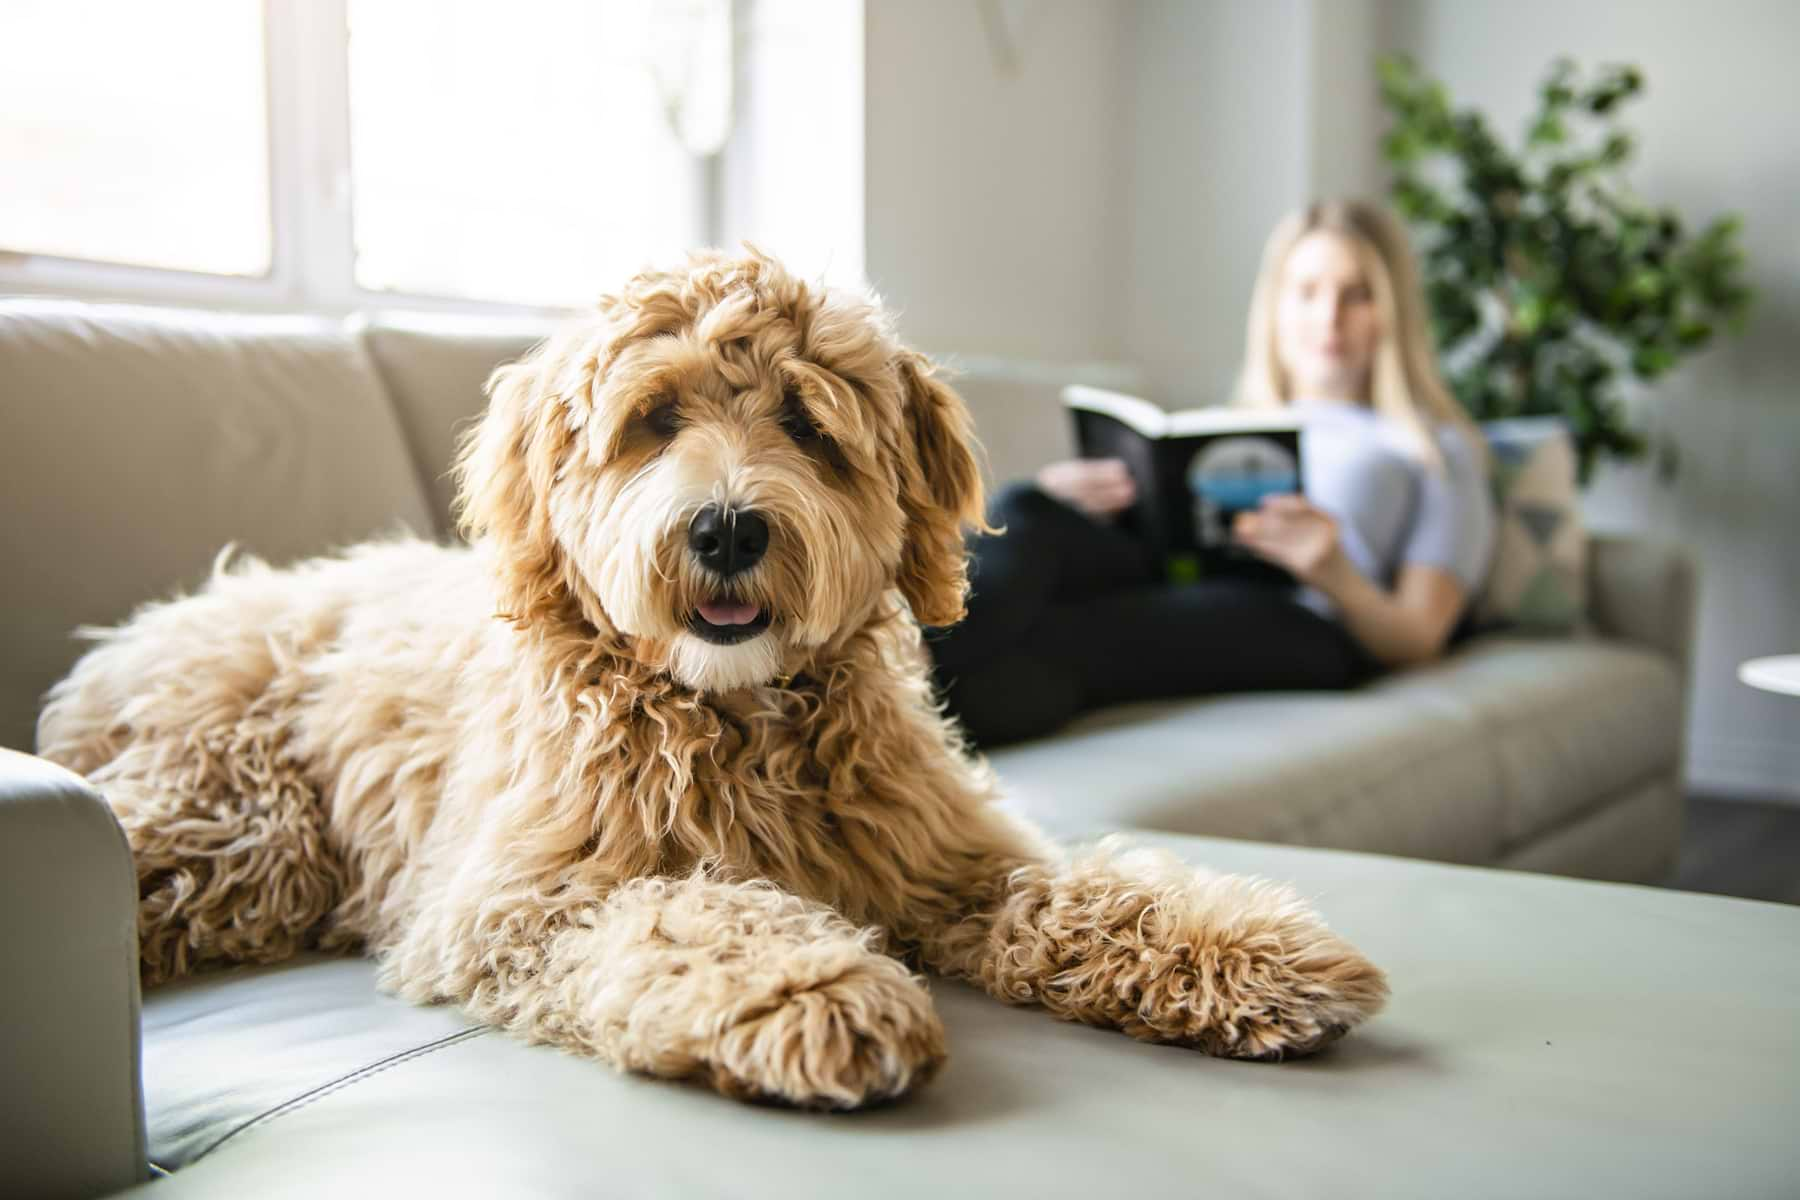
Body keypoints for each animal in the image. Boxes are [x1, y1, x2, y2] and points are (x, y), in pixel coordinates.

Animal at [42, 248, 1389, 1115]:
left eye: (806, 422)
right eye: (652, 419)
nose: (730, 528)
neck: (736, 714)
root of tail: (152, 626)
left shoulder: (949, 857)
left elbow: (1086, 892)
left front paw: (1249, 950)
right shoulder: (521, 900)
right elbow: (687, 913)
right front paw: (816, 987)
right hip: (239, 828)